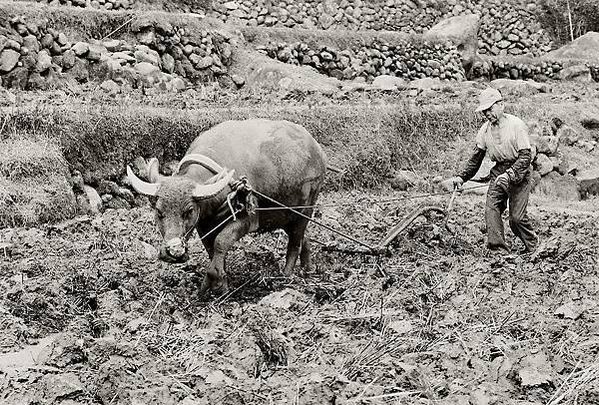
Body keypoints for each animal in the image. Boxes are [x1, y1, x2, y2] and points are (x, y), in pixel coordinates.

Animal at [126, 118, 328, 292]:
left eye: (189, 211)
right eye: (159, 211)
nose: (173, 252)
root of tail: (317, 150)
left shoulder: (247, 219)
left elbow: (221, 242)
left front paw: (215, 282)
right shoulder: (204, 223)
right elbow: (211, 248)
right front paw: (219, 283)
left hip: (306, 209)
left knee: (295, 241)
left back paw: (285, 275)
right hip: (286, 214)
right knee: (303, 237)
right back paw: (308, 269)